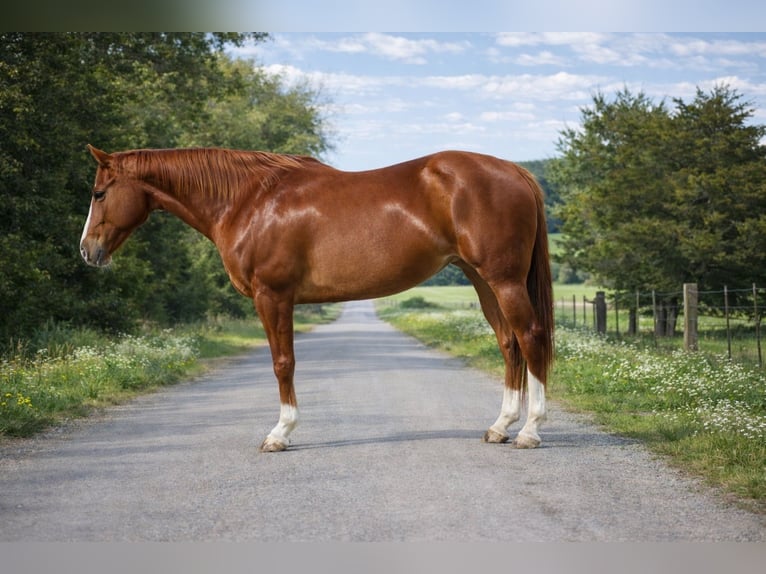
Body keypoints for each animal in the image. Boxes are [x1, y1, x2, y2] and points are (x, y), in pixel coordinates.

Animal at [80, 145, 554, 452]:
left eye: (99, 193)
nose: (87, 251)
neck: (249, 200)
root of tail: (514, 170)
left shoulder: (273, 297)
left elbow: (282, 363)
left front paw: (280, 433)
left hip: (503, 279)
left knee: (530, 338)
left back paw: (529, 432)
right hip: (481, 279)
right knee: (509, 343)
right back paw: (499, 427)